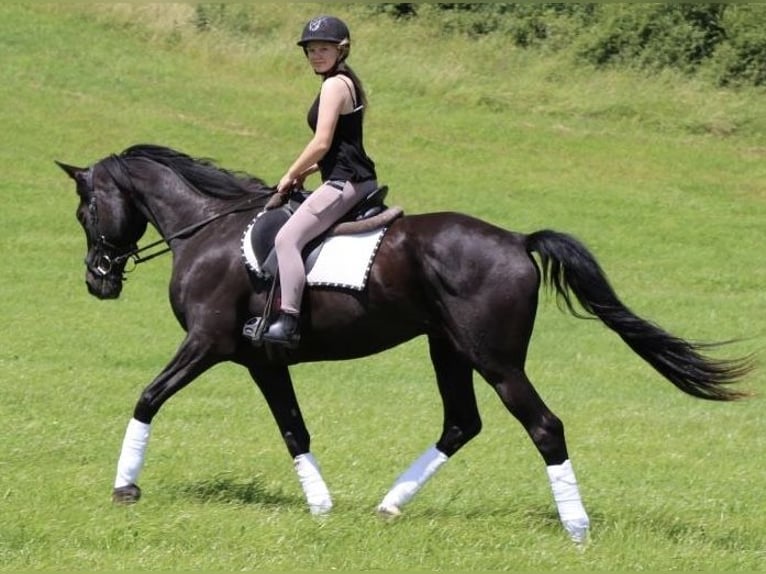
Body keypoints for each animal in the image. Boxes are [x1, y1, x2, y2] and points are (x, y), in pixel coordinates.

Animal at [57, 144, 752, 544]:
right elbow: (294, 429)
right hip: (449, 350)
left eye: (85, 210)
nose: (97, 281)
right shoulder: (261, 358)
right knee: (461, 424)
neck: (209, 230)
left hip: (495, 359)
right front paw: (321, 506)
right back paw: (389, 506)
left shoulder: (207, 343)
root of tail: (516, 239)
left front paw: (125, 488)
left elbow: (147, 398)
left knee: (544, 426)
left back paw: (576, 530)